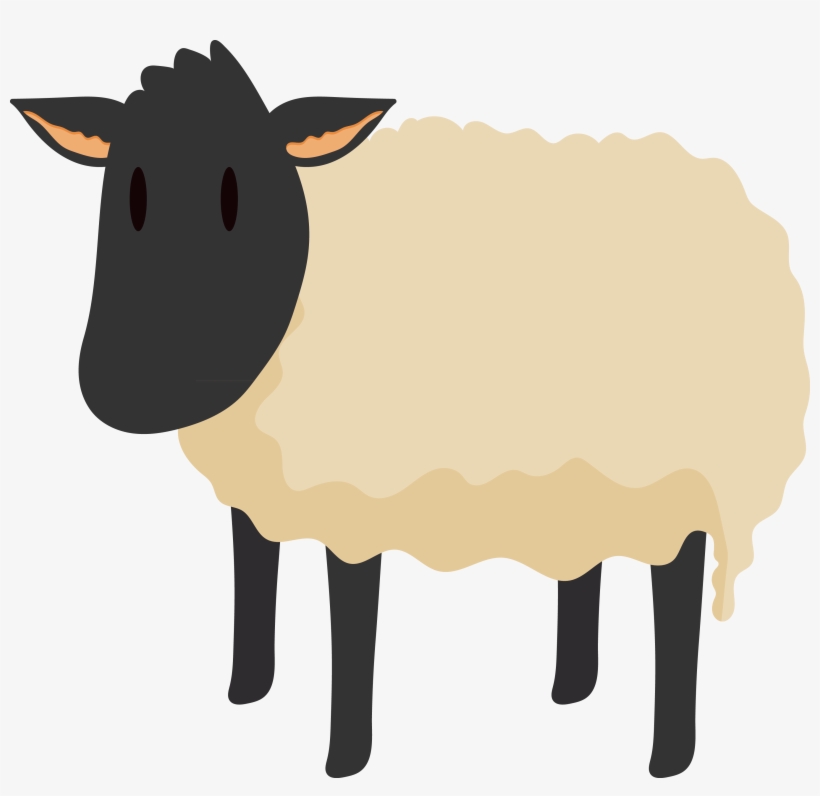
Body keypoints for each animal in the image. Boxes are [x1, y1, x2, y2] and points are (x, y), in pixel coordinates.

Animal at [11, 41, 808, 782]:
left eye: (238, 191)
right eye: (127, 187)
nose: (134, 389)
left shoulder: (353, 500)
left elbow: (350, 626)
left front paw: (344, 759)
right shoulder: (258, 486)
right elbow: (253, 575)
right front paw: (247, 694)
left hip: (686, 479)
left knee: (676, 596)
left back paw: (668, 757)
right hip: (596, 475)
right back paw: (571, 689)